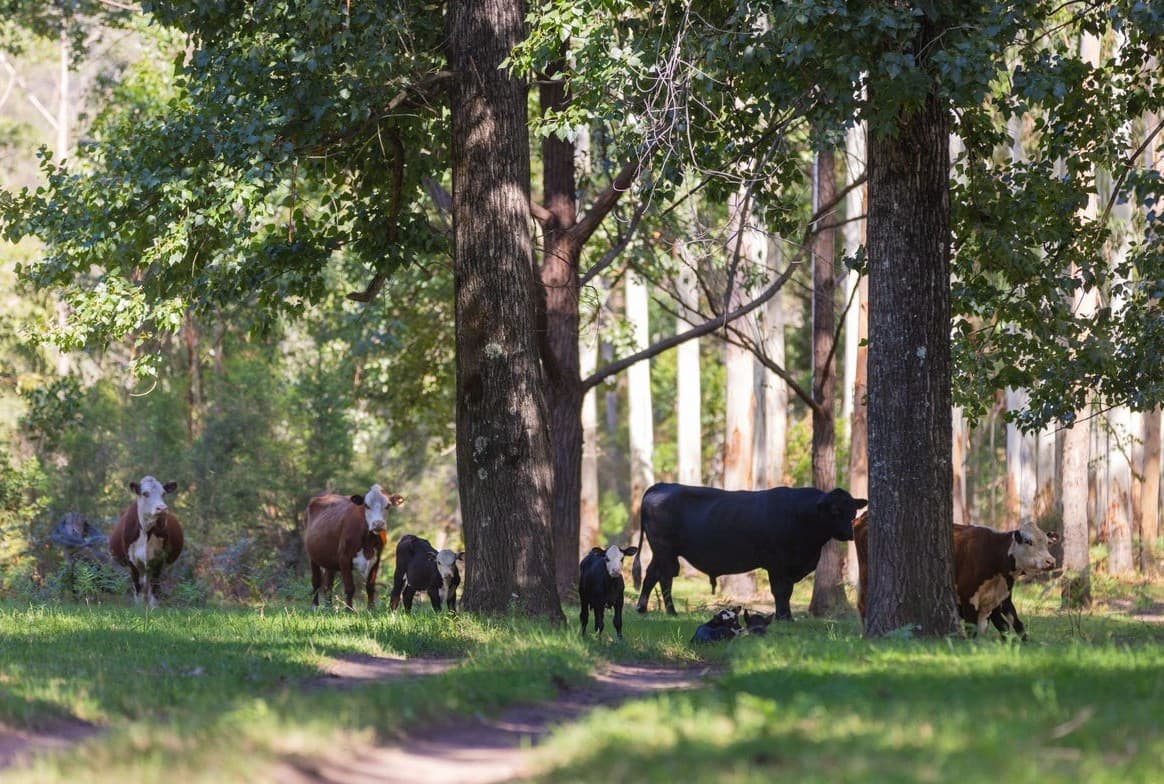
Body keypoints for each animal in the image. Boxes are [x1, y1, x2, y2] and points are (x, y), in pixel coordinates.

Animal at [108, 476, 184, 608]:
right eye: (145, 493)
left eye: (163, 493)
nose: (162, 508)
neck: (146, 531)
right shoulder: (131, 561)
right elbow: (137, 586)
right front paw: (138, 608)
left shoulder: (159, 559)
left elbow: (154, 586)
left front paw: (154, 607)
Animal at [633, 483, 867, 619]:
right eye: (835, 510)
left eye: (853, 510)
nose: (849, 532)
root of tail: (661, 486)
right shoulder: (777, 563)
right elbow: (781, 591)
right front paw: (782, 617)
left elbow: (788, 591)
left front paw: (788, 616)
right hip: (664, 549)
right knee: (664, 578)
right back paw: (671, 612)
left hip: (661, 551)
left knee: (651, 575)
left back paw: (642, 609)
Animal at [854, 514, 1057, 640]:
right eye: (1029, 541)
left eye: (1047, 542)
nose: (1051, 561)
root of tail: (861, 518)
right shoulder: (968, 599)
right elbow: (974, 629)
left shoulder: (1003, 599)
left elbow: (1017, 626)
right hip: (866, 577)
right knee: (863, 604)